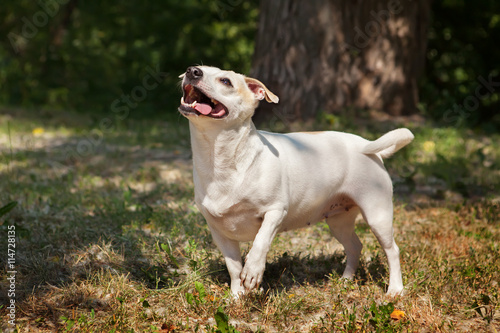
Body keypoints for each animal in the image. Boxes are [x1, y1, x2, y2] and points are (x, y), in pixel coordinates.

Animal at [178, 65, 412, 296]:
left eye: (226, 81)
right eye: (197, 68)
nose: (192, 71)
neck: (221, 160)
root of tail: (367, 146)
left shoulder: (275, 212)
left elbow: (260, 243)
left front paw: (253, 271)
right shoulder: (220, 233)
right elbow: (234, 268)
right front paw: (237, 296)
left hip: (377, 216)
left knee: (392, 251)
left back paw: (395, 289)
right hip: (339, 222)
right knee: (355, 246)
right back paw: (346, 280)